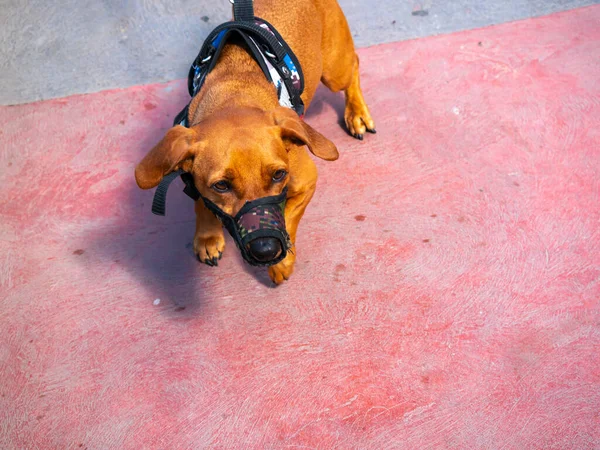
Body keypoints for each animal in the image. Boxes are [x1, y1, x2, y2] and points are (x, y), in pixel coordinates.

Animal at [136, 0, 376, 282]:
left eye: (279, 174)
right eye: (221, 186)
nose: (266, 249)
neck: (236, 96)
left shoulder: (307, 182)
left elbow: (288, 217)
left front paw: (284, 262)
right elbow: (201, 202)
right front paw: (208, 236)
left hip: (334, 71)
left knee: (354, 66)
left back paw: (357, 113)